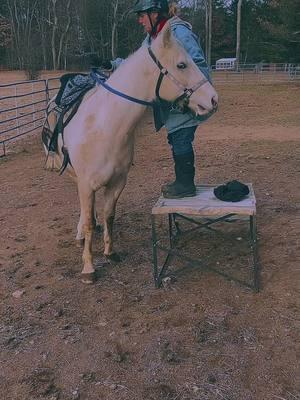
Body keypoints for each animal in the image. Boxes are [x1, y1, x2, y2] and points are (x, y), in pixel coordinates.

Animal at [42, 22, 218, 284]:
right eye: (181, 64)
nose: (213, 99)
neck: (104, 126)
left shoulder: (117, 182)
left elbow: (109, 216)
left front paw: (109, 252)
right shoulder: (86, 183)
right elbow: (89, 223)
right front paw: (88, 268)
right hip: (74, 175)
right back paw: (81, 234)